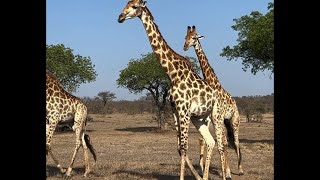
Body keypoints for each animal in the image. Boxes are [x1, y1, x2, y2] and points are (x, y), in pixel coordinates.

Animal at [117, 0, 230, 179]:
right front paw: (197, 176)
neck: (172, 73)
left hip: (216, 115)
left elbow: (184, 147)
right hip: (199, 118)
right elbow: (179, 148)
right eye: (126, 4)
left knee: (220, 144)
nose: (120, 17)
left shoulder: (184, 110)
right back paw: (204, 176)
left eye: (135, 6)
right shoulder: (176, 110)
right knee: (210, 141)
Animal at [184, 25, 244, 177]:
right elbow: (214, 142)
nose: (185, 46)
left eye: (194, 37)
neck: (213, 84)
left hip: (234, 120)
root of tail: (235, 103)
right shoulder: (212, 118)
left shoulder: (218, 117)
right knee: (227, 141)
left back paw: (240, 170)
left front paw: (227, 173)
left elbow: (222, 143)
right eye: (185, 37)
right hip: (225, 121)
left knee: (236, 141)